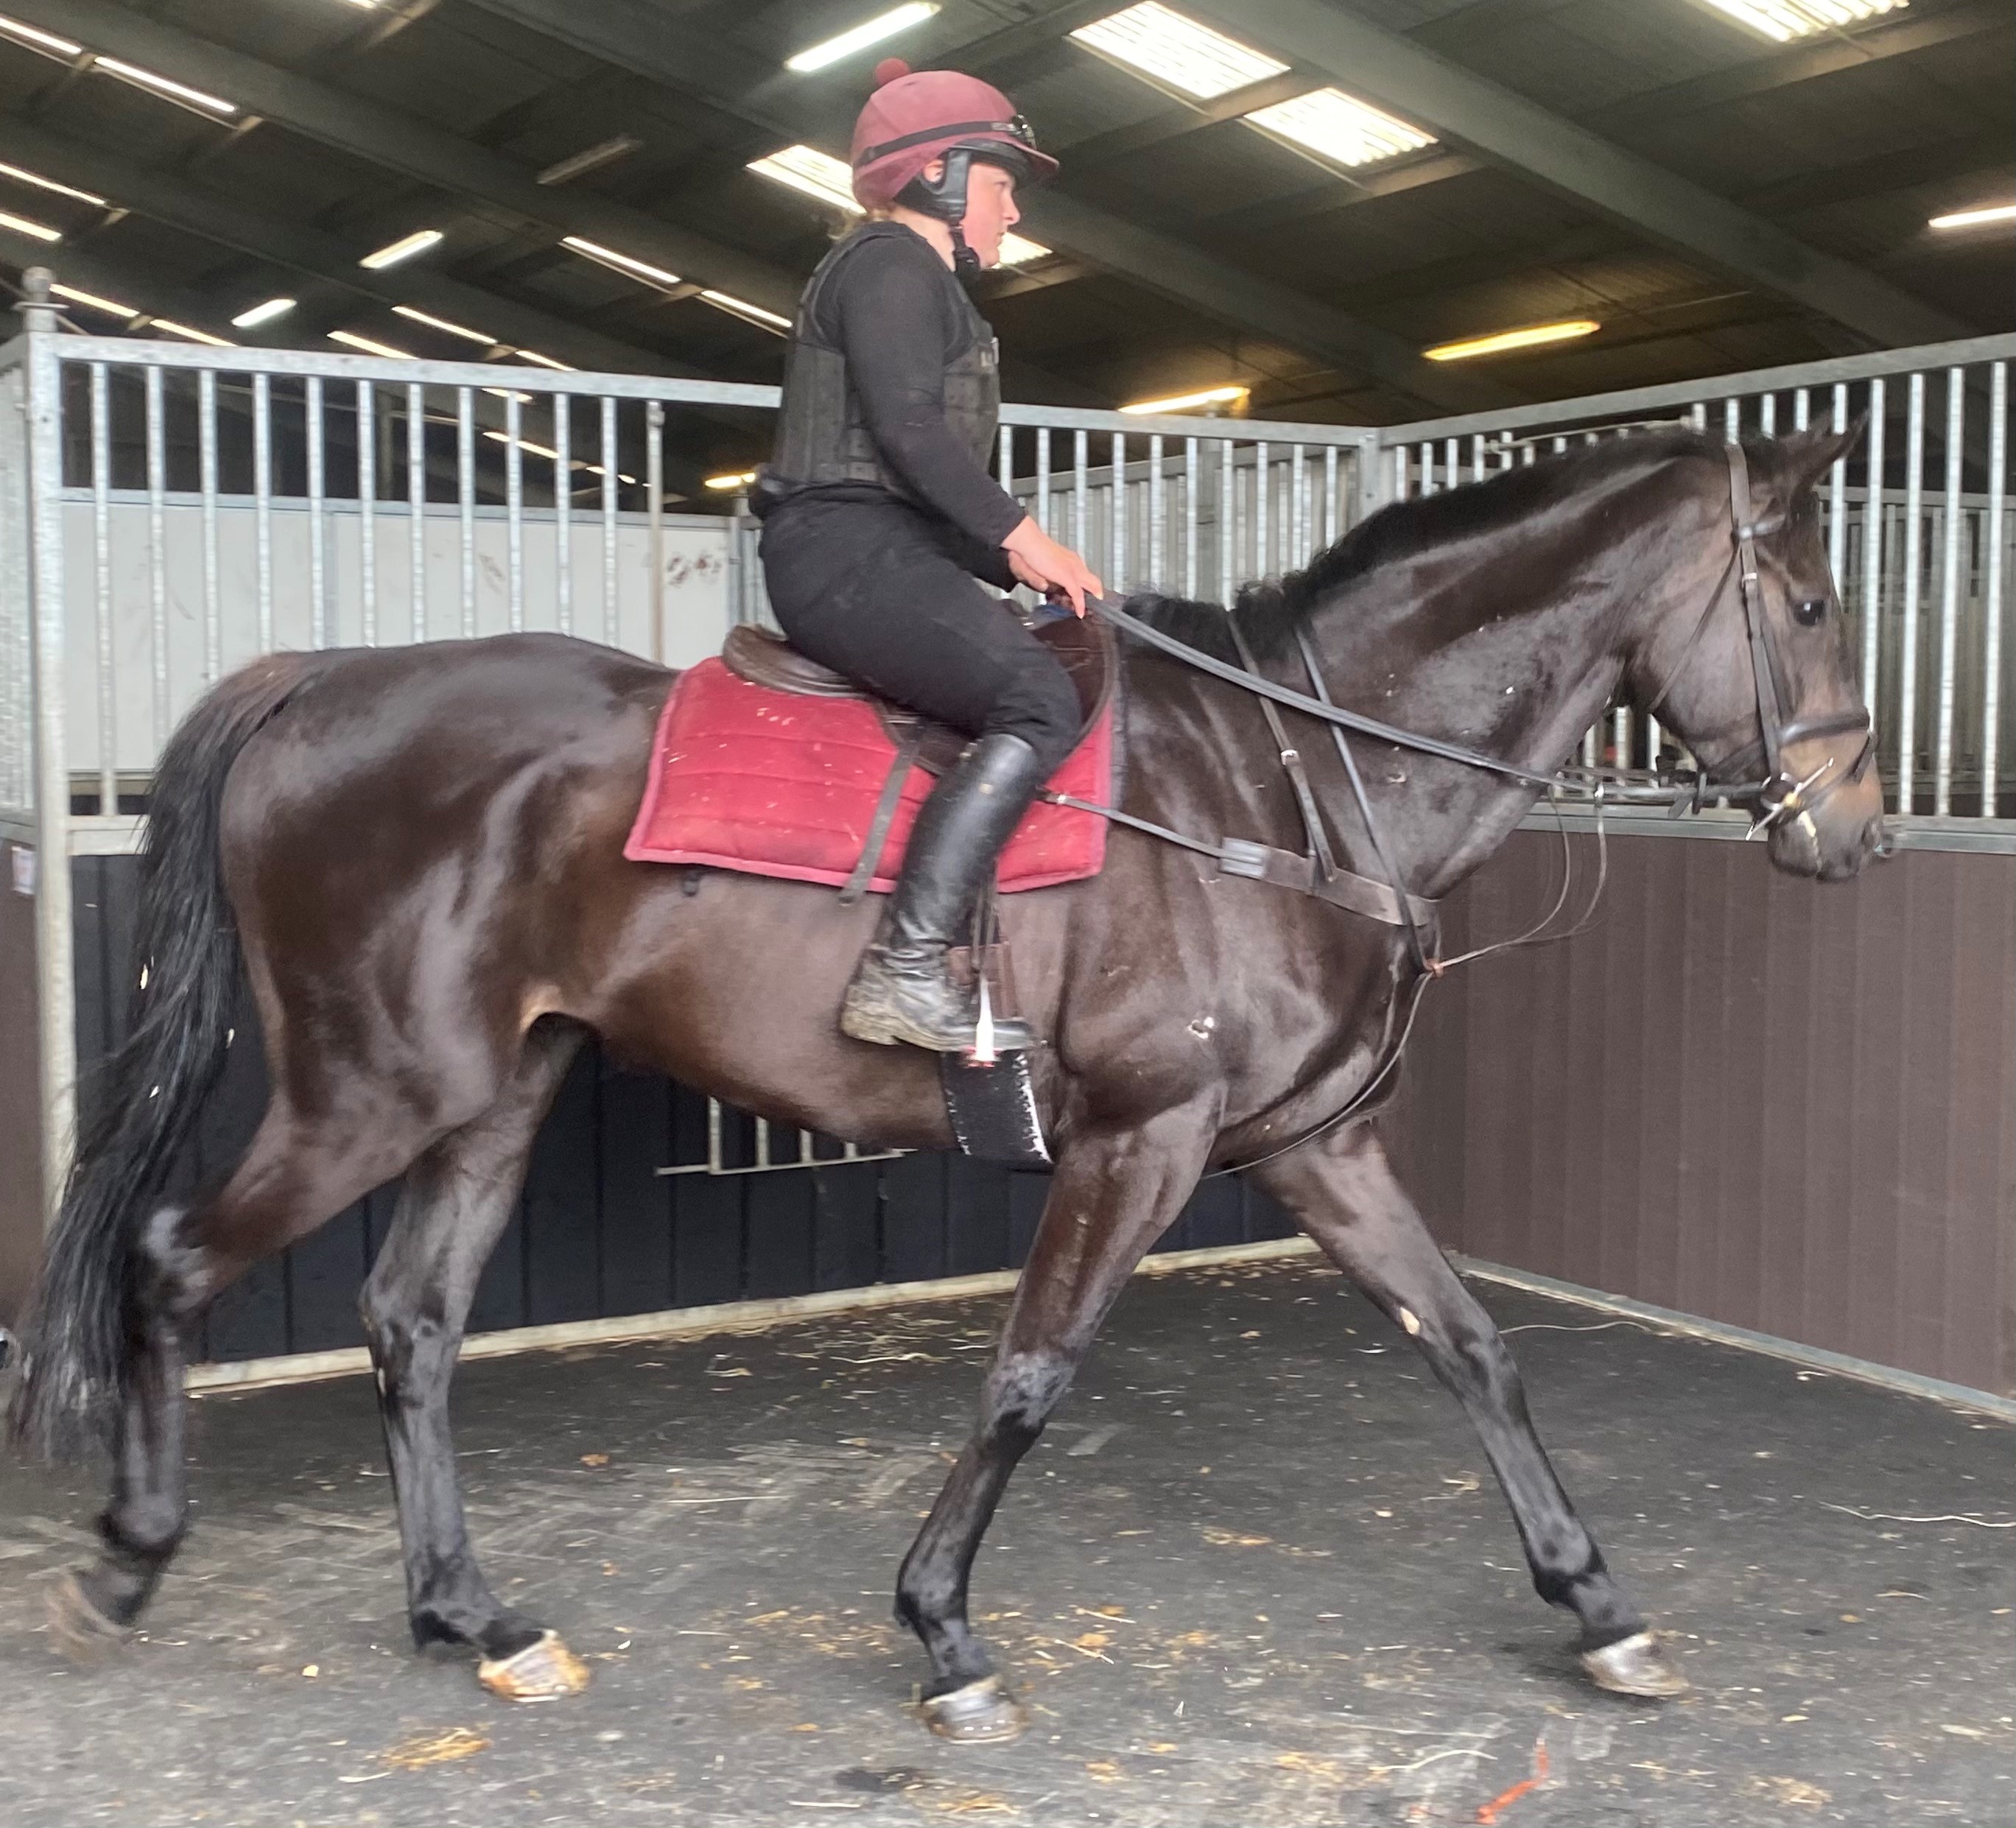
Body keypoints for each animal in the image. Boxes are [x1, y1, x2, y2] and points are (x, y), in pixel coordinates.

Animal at [12, 421, 1886, 1733]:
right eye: (1805, 603)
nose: (1857, 834)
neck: (1284, 777)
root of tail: (320, 683)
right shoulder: (1140, 1141)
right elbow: (1028, 1377)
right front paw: (942, 1631)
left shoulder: (1317, 1148)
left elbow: (1474, 1345)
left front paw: (1600, 1602)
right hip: (371, 1090)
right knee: (171, 1260)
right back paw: (128, 1556)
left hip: (495, 1092)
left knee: (410, 1322)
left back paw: (475, 1616)